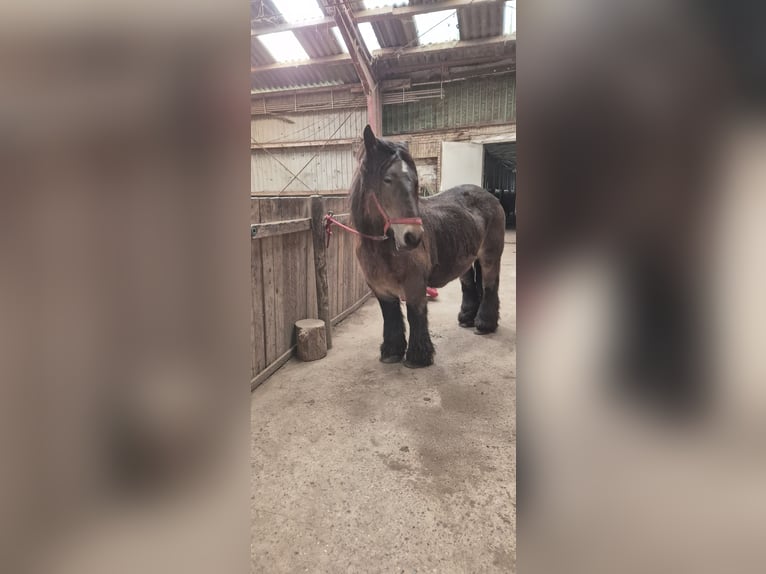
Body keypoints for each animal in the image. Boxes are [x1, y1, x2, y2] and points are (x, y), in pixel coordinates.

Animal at [350, 125, 506, 368]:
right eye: (387, 179)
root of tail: (490, 196)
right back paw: (466, 318)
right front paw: (391, 352)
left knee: (490, 285)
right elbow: (390, 316)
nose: (413, 237)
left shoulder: (415, 284)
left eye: (415, 181)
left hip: (490, 256)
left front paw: (418, 357)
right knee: (470, 285)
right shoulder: (380, 289)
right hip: (465, 260)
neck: (381, 247)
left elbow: (416, 315)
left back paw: (484, 324)